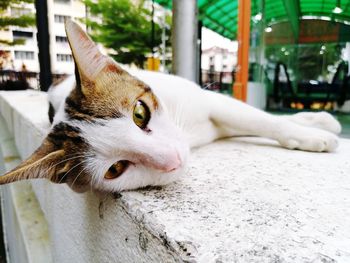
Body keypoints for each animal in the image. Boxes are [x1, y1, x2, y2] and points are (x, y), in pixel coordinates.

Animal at [0, 20, 342, 194]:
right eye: (115, 169)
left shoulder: (210, 100)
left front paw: (312, 130)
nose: (174, 159)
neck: (190, 133)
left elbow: (263, 119)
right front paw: (310, 132)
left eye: (140, 113)